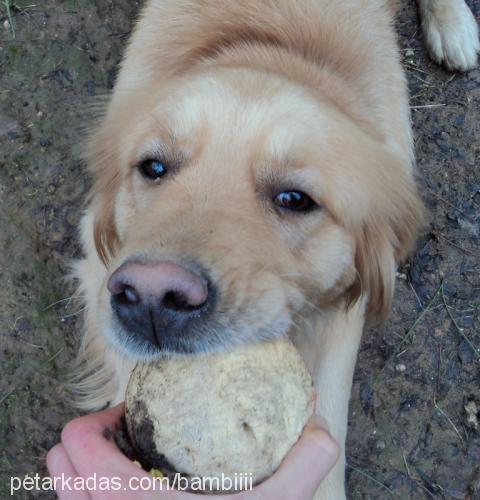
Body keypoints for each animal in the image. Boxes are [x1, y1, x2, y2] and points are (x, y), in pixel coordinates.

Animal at [73, 0, 478, 496]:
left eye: (294, 199)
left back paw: (454, 27)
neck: (275, 49)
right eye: (153, 167)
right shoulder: (98, 263)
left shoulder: (344, 305)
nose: (151, 295)